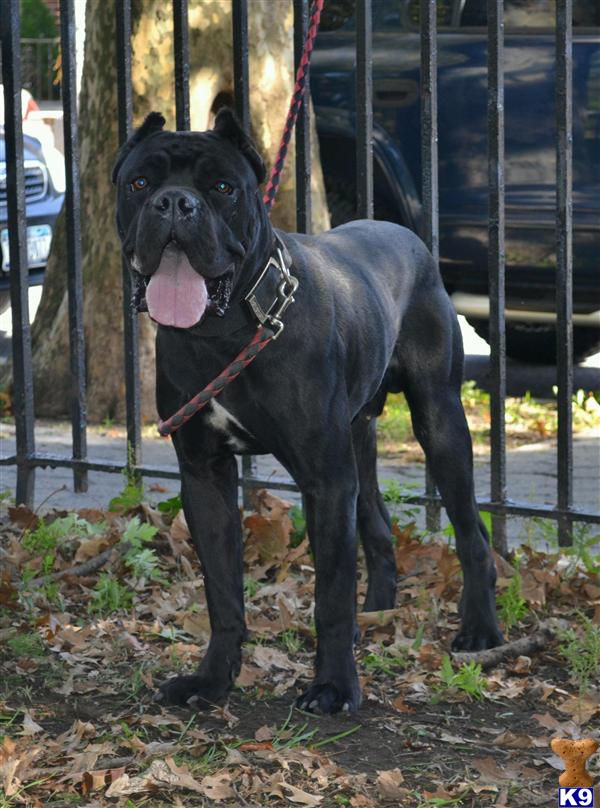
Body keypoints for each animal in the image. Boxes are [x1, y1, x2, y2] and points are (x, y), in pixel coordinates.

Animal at [111, 107, 502, 712]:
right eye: (140, 183)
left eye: (222, 188)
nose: (175, 203)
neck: (226, 329)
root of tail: (404, 233)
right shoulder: (206, 476)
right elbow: (223, 591)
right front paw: (212, 679)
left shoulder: (325, 480)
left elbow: (330, 595)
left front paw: (335, 686)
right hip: (359, 443)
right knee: (379, 528)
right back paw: (377, 611)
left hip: (439, 424)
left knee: (472, 533)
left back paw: (480, 630)